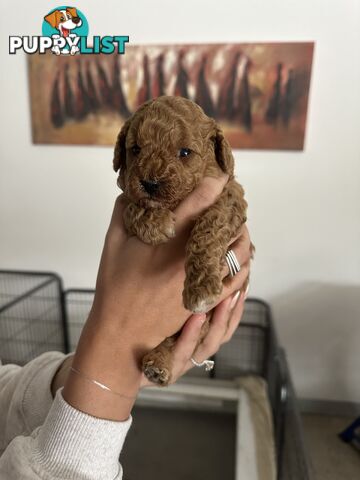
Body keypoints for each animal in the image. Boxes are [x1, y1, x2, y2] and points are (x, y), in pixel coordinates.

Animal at [114, 95, 250, 384]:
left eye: (185, 152)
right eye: (136, 149)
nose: (150, 183)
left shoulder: (231, 196)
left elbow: (210, 226)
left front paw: (200, 289)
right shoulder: (125, 196)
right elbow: (132, 206)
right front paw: (155, 223)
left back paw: (157, 363)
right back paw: (157, 365)